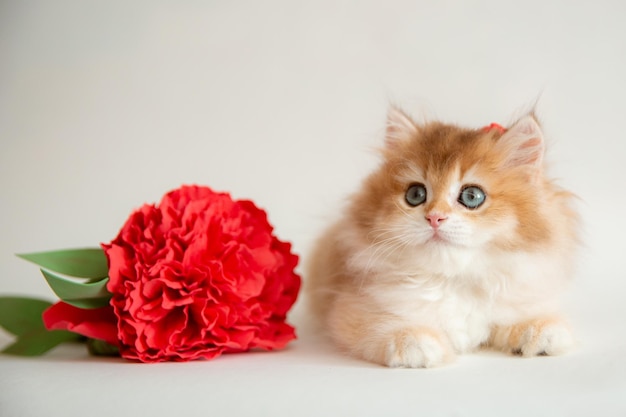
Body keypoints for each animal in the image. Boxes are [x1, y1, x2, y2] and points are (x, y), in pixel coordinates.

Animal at [304, 106, 576, 368]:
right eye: (415, 194)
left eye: (472, 196)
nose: (435, 218)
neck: (452, 280)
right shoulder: (351, 306)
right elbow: (382, 324)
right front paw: (413, 342)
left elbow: (520, 316)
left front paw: (540, 331)